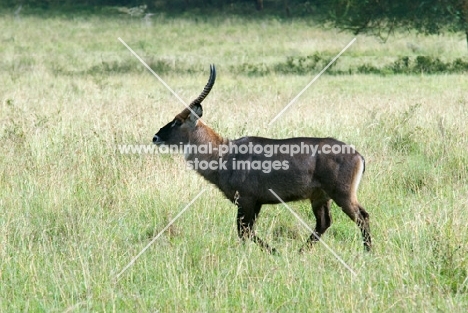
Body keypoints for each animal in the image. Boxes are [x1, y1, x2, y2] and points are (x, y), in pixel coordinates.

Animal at [152, 64, 372, 252]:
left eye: (177, 121)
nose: (155, 137)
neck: (224, 153)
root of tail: (358, 155)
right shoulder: (256, 203)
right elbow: (247, 231)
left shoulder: (246, 200)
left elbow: (244, 231)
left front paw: (271, 252)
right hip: (320, 197)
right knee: (324, 223)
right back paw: (300, 252)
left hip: (342, 194)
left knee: (362, 217)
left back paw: (368, 252)